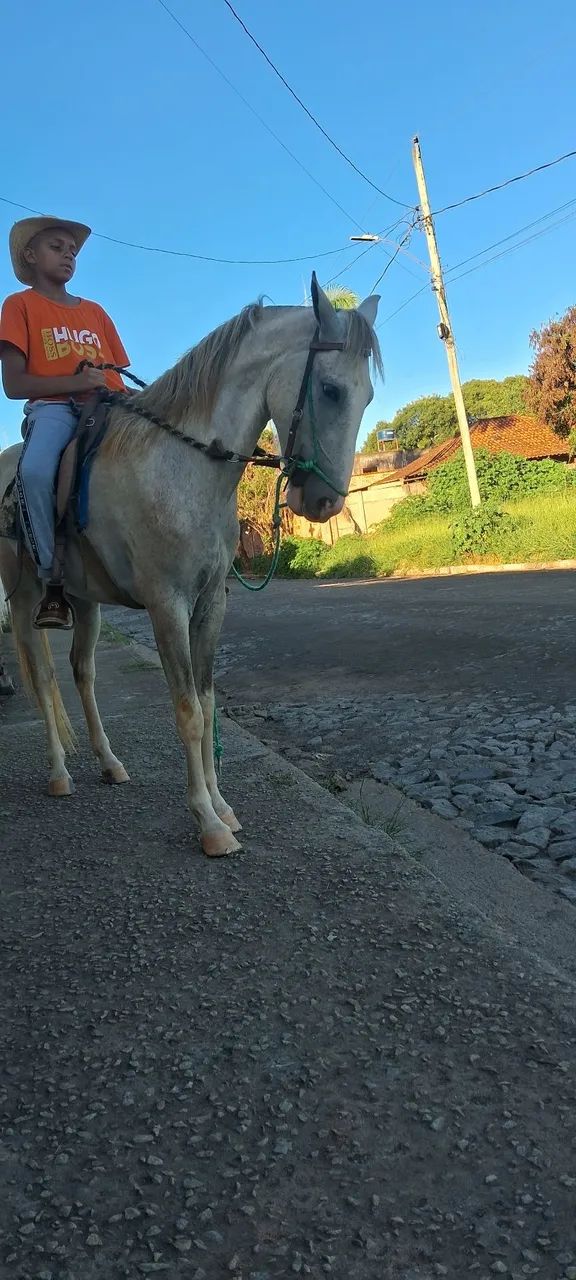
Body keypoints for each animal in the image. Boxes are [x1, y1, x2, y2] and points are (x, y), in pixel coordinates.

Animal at [0, 273, 381, 855]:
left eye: (368, 395)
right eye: (332, 390)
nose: (324, 503)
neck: (184, 466)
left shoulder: (209, 605)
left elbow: (207, 702)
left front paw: (222, 806)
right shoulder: (167, 607)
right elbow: (187, 712)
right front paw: (207, 821)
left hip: (86, 604)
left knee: (82, 673)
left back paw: (109, 763)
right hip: (23, 600)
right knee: (42, 678)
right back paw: (59, 773)